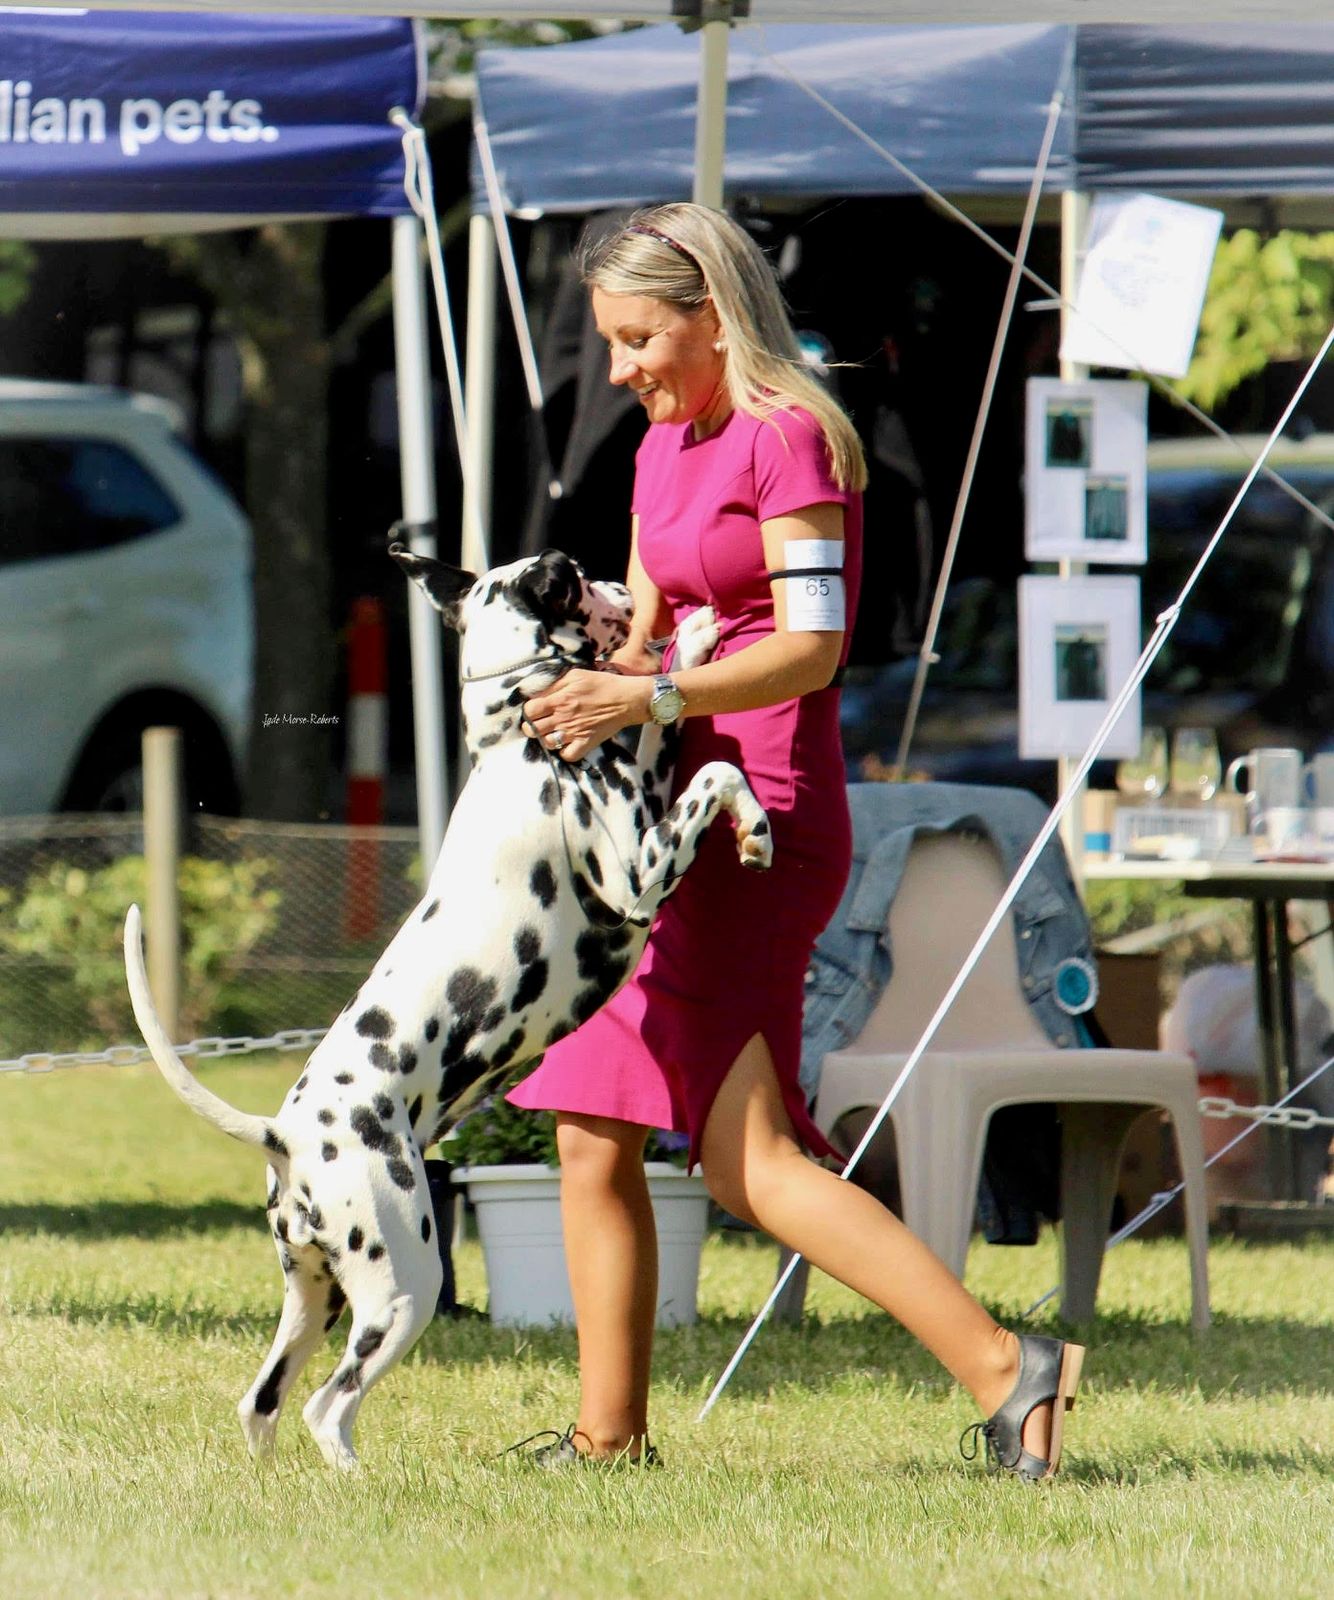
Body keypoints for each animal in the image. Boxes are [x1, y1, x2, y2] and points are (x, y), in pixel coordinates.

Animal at [123, 544, 772, 1469]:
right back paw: (357, 1479)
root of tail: (284, 1132)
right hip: (404, 1288)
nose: (626, 582)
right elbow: (716, 771)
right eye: (572, 572)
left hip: (315, 1298)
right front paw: (755, 825)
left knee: (262, 1403)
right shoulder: (638, 874)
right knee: (327, 1407)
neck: (520, 733)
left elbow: (667, 723)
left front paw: (698, 638)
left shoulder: (642, 784)